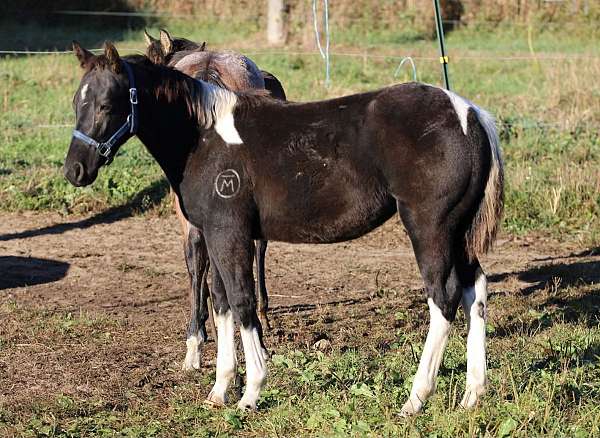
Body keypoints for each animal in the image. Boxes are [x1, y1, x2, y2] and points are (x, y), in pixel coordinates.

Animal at [64, 44, 502, 414]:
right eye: (76, 103)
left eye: (106, 104)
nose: (75, 171)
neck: (203, 136)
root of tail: (469, 114)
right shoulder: (216, 235)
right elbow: (221, 303)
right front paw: (219, 391)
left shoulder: (229, 234)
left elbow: (241, 303)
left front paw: (251, 393)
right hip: (458, 232)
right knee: (474, 290)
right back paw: (472, 394)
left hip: (429, 228)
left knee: (443, 298)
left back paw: (416, 398)